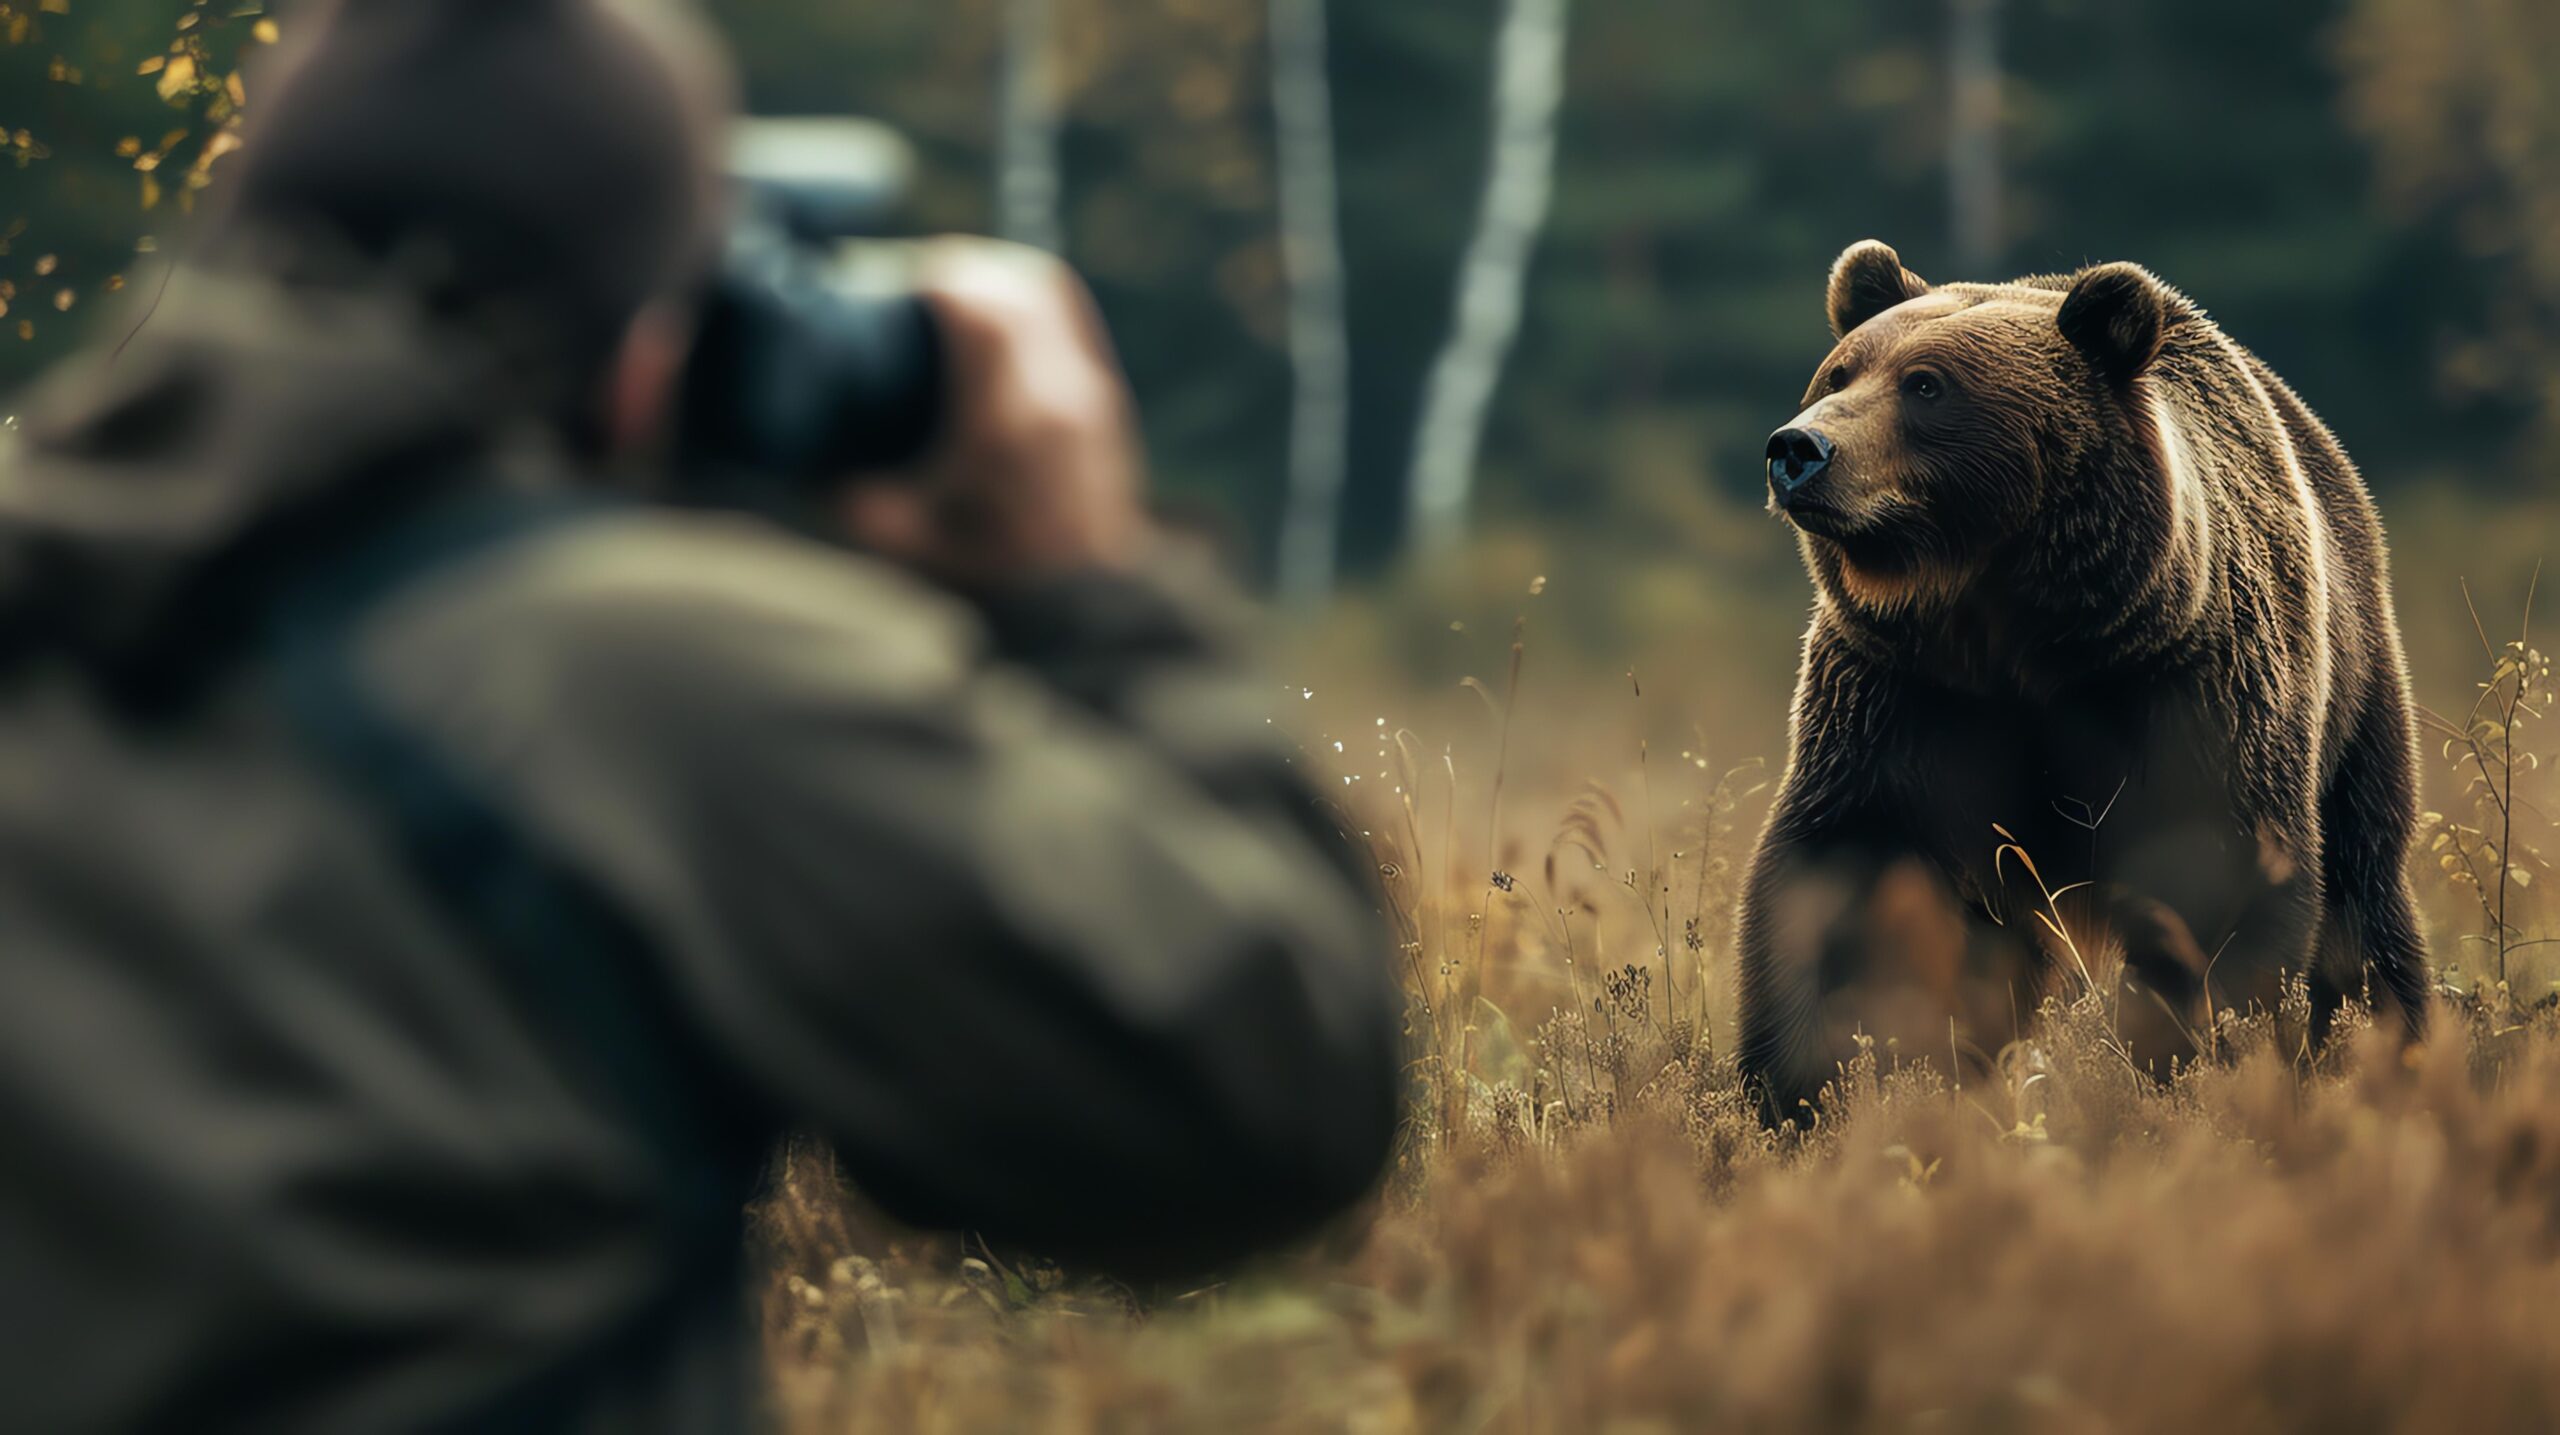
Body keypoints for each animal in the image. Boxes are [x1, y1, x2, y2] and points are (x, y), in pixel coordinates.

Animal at [1740, 240, 2416, 1125]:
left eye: (1926, 384)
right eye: (1839, 373)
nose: (1799, 448)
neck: (2020, 632)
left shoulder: (2185, 685)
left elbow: (2212, 880)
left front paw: (2186, 1066)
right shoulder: (1905, 697)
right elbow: (1858, 884)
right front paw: (1817, 1089)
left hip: (2356, 692)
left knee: (2365, 906)